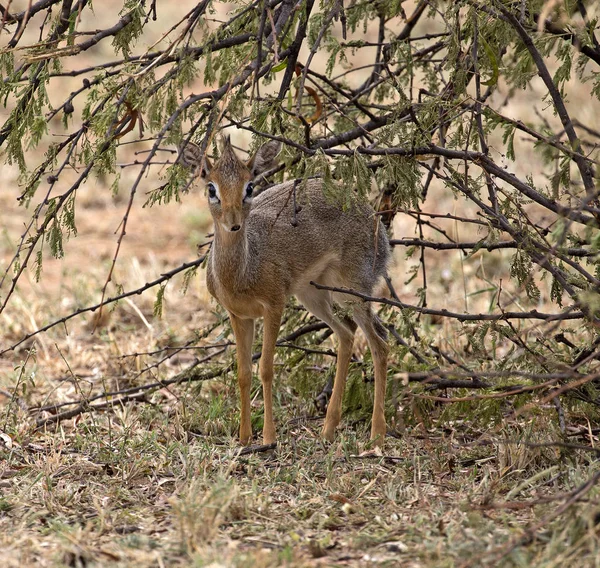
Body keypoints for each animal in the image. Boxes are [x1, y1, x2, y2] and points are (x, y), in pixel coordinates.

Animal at [180, 135, 392, 446]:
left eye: (249, 186)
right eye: (211, 187)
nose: (233, 224)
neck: (242, 272)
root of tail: (376, 221)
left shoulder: (274, 305)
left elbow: (266, 369)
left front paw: (269, 438)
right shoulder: (239, 315)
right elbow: (243, 373)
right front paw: (244, 438)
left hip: (353, 291)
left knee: (380, 342)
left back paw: (376, 434)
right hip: (313, 296)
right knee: (346, 334)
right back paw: (328, 430)